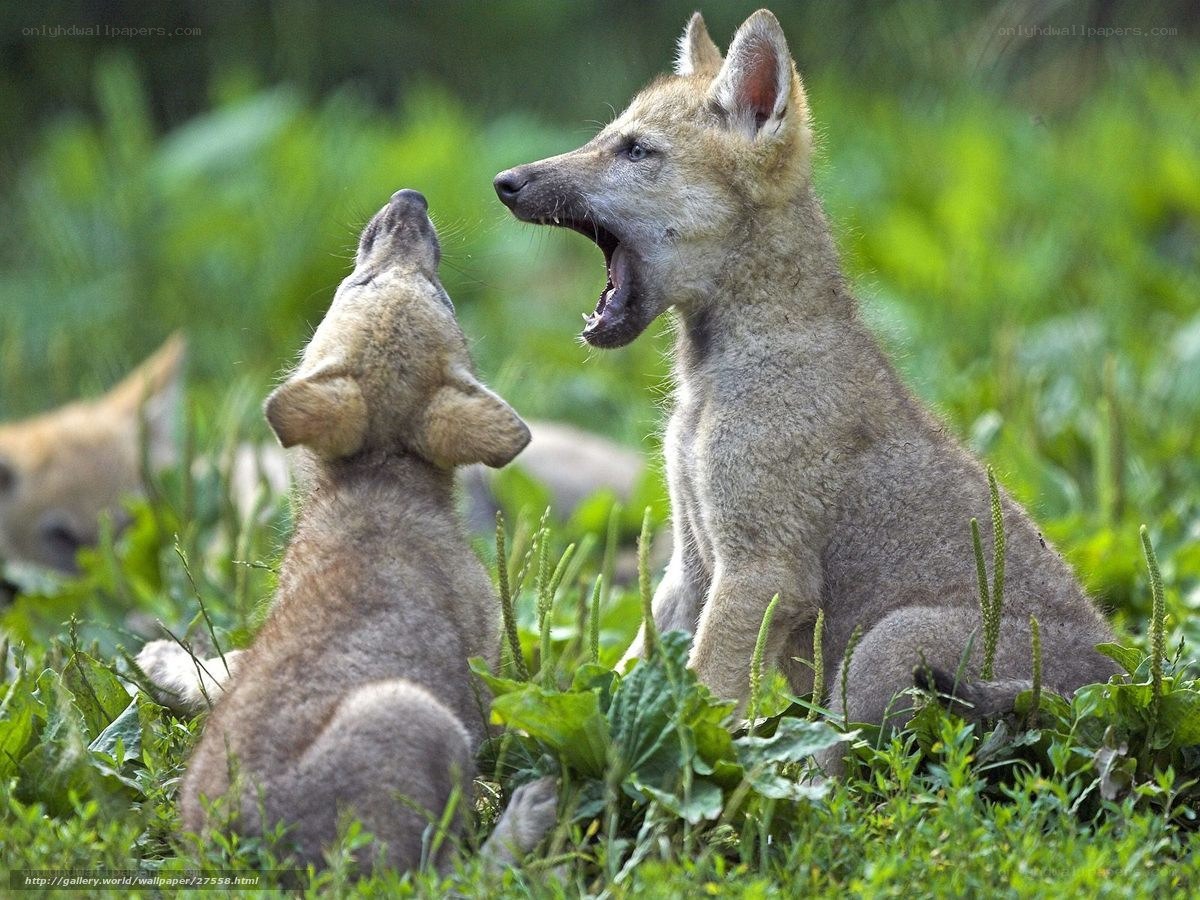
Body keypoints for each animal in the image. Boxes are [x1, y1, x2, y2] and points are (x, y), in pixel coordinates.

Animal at [140, 189, 556, 871]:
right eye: (361, 282)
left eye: (437, 291)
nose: (410, 199)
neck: (380, 474)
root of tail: (249, 851)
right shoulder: (487, 675)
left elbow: (227, 664)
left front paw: (166, 661)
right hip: (418, 722)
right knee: (452, 872)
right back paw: (529, 816)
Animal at [494, 9, 1118, 763]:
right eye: (607, 136)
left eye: (636, 150)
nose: (504, 181)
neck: (713, 381)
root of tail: (1112, 691)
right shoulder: (692, 565)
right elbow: (635, 668)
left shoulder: (762, 571)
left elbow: (703, 696)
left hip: (885, 647)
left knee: (840, 761)